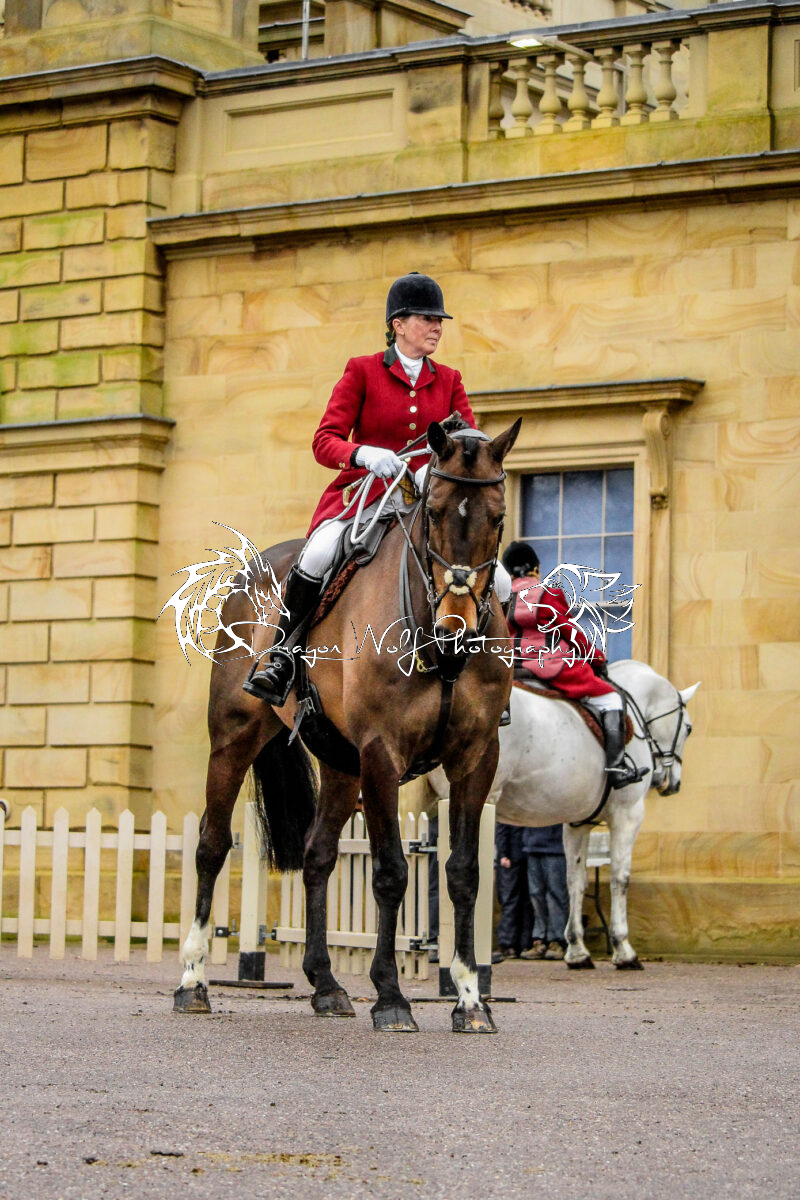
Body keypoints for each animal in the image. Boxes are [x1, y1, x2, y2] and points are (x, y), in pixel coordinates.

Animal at [171, 418, 522, 1033]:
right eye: (434, 511)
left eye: (498, 516)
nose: (456, 625)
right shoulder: (383, 752)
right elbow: (391, 872)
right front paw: (391, 995)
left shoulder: (476, 757)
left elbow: (462, 873)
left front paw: (469, 999)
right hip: (235, 737)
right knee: (212, 845)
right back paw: (193, 981)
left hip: (340, 763)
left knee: (317, 856)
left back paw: (326, 984)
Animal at [430, 660, 699, 969]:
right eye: (688, 728)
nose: (670, 783)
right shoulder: (628, 814)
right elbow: (620, 878)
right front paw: (624, 950)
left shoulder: (577, 824)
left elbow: (574, 881)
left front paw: (577, 950)